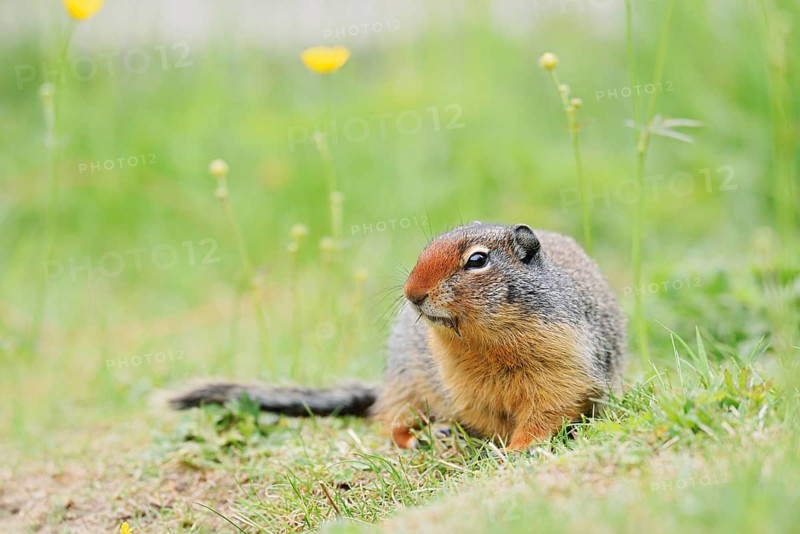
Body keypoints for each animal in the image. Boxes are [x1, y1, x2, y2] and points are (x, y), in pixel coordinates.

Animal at [171, 223, 626, 451]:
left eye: (477, 260)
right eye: (426, 248)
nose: (413, 293)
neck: (486, 345)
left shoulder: (563, 364)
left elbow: (548, 411)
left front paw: (519, 448)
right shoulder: (459, 386)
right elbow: (481, 416)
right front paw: (481, 440)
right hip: (406, 380)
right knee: (390, 418)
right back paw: (422, 437)